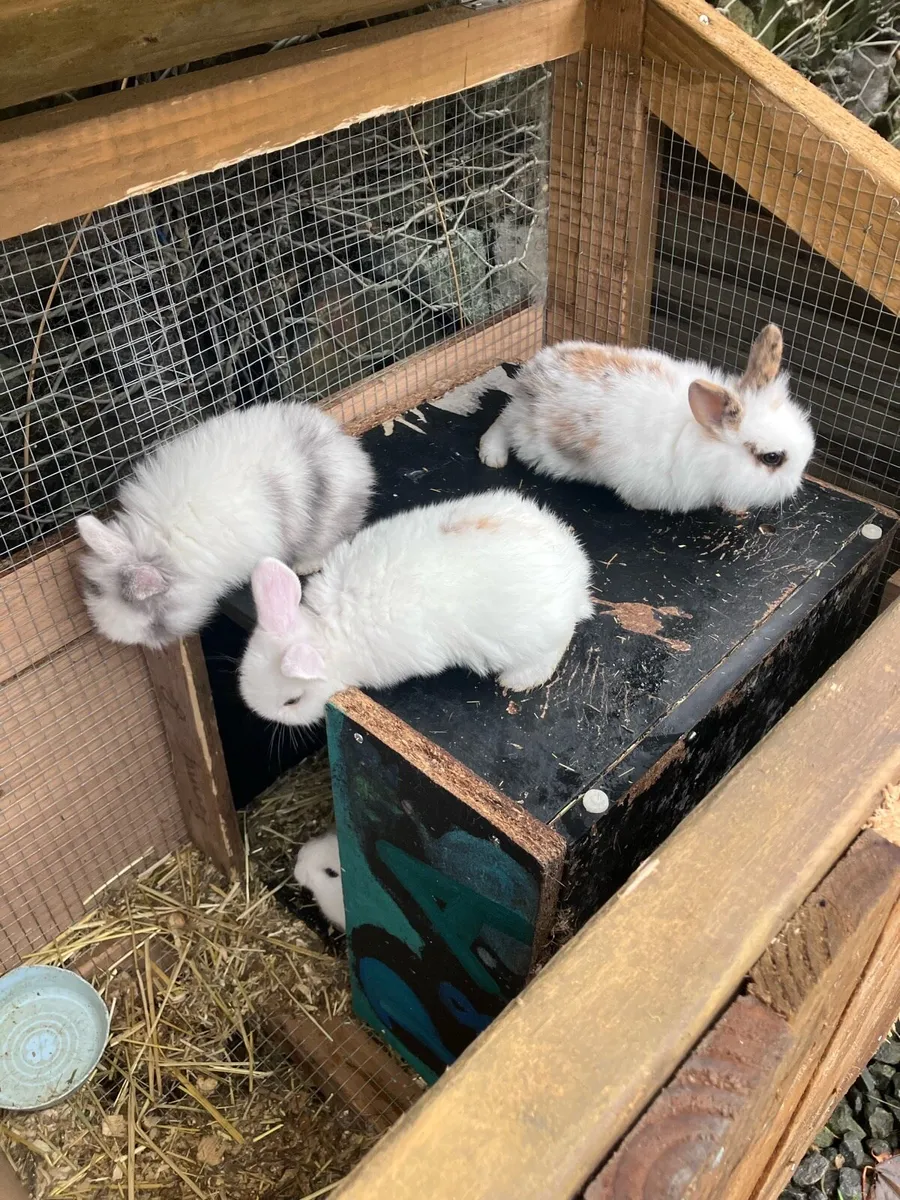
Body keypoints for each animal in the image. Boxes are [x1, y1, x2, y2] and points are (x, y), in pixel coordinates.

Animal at [76, 402, 375, 649]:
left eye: (155, 623)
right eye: (94, 592)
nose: (118, 638)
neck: (162, 541)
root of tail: (349, 452)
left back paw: (306, 564)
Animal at [238, 489, 594, 727]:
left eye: (292, 701)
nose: (268, 716)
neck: (329, 628)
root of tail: (577, 574)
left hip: (535, 639)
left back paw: (515, 680)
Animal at [478, 325, 816, 514]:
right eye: (772, 458)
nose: (795, 486)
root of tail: (532, 373)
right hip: (526, 432)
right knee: (502, 422)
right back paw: (492, 456)